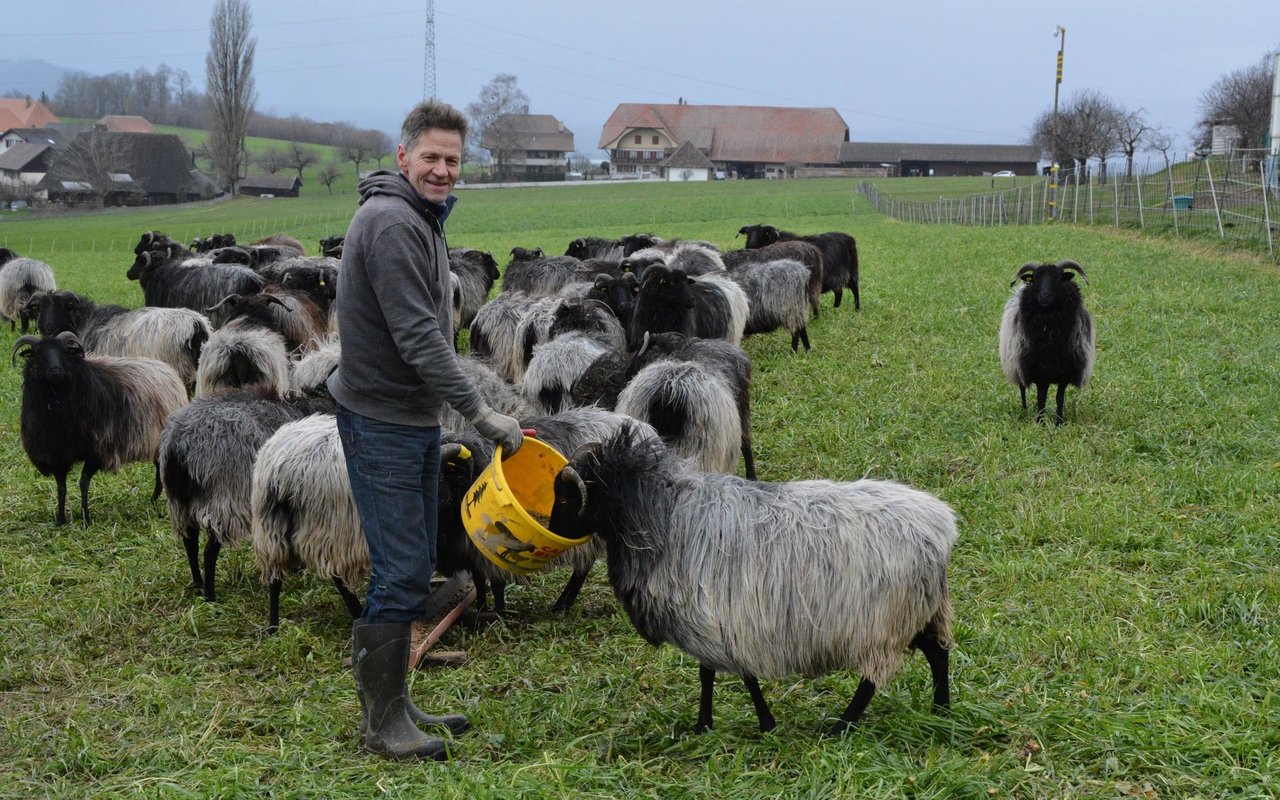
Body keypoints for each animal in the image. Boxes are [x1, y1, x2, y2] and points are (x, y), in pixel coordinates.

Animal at [12, 332, 186, 527]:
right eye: (38, 354)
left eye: (65, 352)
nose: (55, 371)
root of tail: (167, 368)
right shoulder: (56, 454)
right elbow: (61, 488)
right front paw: (60, 519)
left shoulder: (97, 451)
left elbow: (83, 483)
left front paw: (85, 518)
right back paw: (153, 499)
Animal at [161, 386, 335, 599]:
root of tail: (179, 444)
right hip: (225, 502)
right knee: (209, 551)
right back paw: (210, 596)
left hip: (181, 503)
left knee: (190, 542)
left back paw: (198, 585)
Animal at [550, 424, 962, 737]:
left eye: (567, 498)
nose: (549, 534)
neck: (661, 517)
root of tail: (941, 528)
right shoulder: (721, 622)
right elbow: (712, 675)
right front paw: (715, 724)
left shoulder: (720, 621)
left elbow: (728, 675)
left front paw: (750, 723)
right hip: (919, 611)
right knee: (938, 652)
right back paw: (941, 709)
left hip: (883, 625)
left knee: (873, 681)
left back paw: (840, 727)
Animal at [993, 261, 1095, 424]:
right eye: (1035, 278)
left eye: (1059, 278)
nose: (1044, 296)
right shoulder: (1039, 373)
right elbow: (1041, 398)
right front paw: (1040, 421)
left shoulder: (1065, 373)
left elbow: (1059, 398)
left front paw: (1059, 421)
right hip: (1017, 364)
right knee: (1022, 388)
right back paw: (1025, 410)